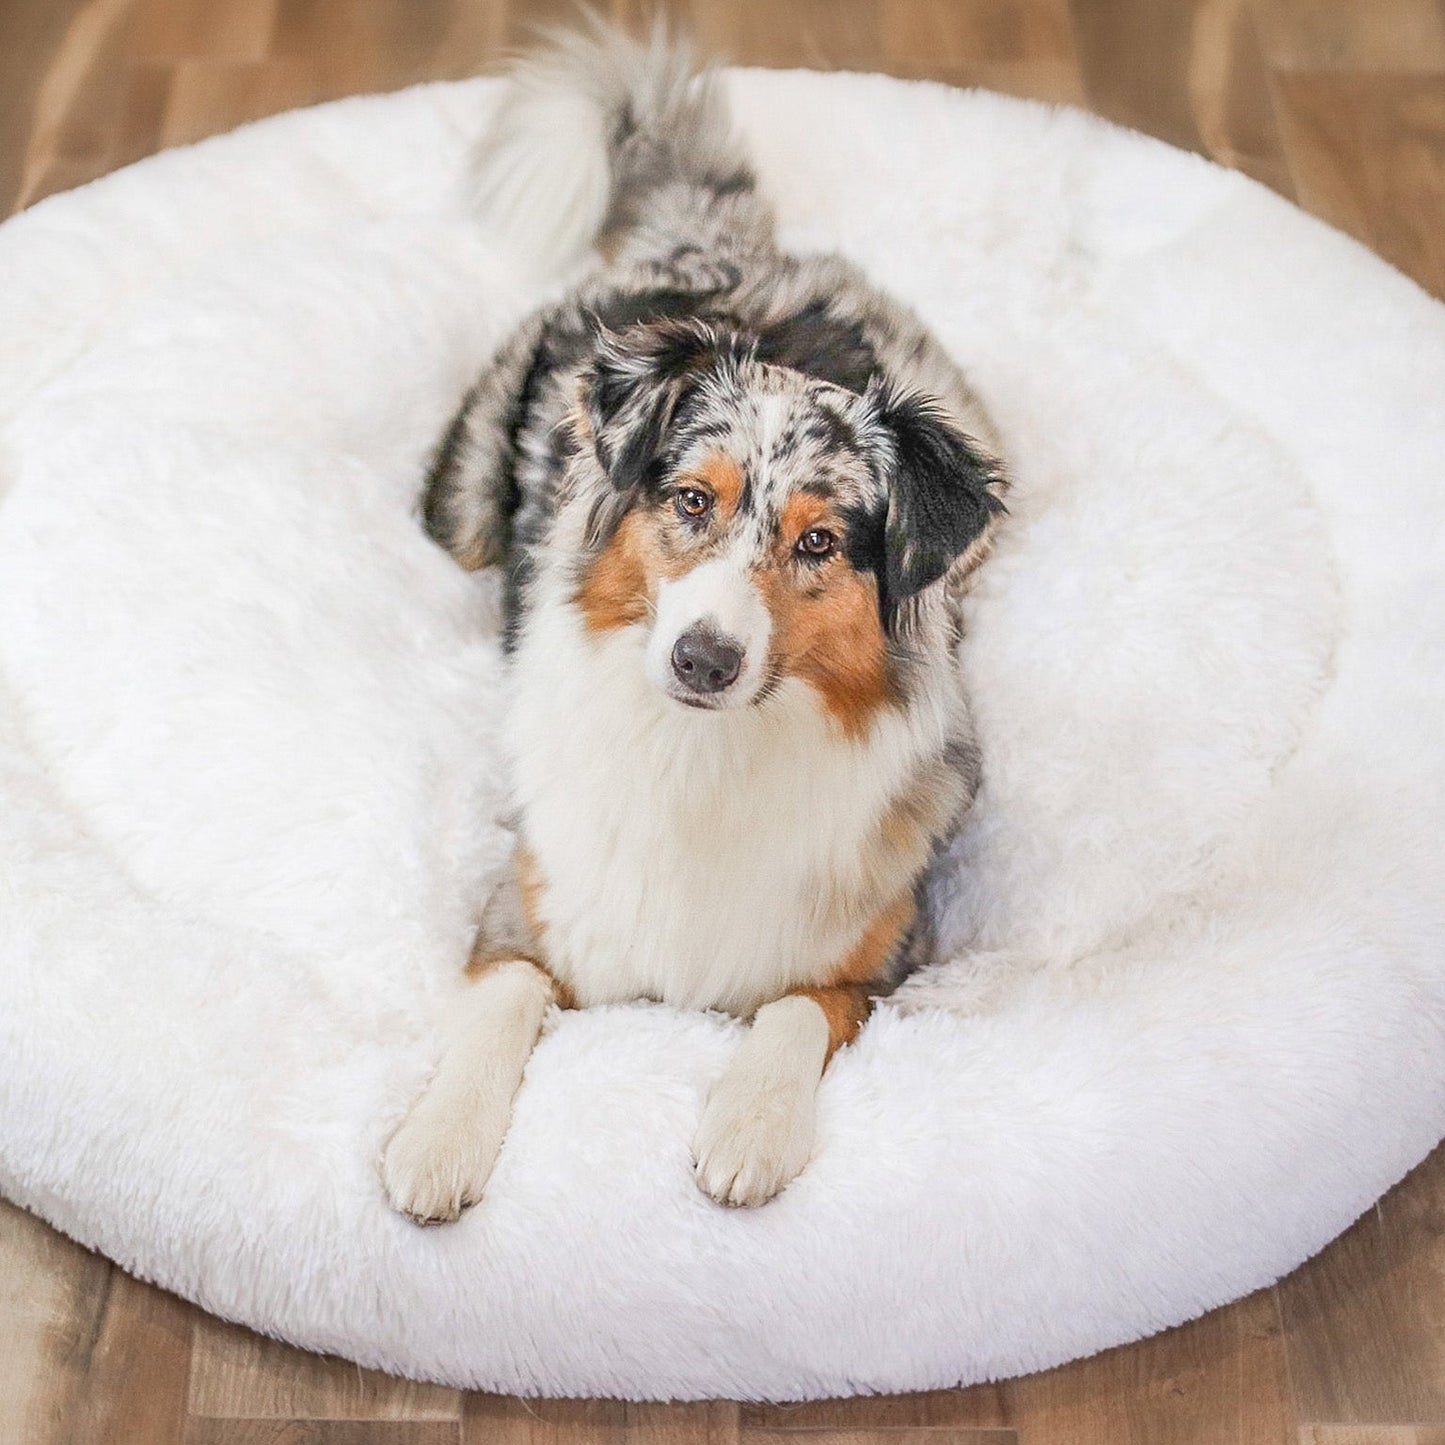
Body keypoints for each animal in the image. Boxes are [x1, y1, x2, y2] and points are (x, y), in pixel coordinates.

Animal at [381, 22, 1005, 1219]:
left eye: (820, 542)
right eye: (689, 501)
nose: (702, 658)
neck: (706, 752)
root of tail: (706, 252)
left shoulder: (877, 953)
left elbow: (794, 1006)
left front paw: (750, 1124)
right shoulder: (529, 907)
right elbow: (500, 1000)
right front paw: (437, 1138)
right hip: (462, 505)